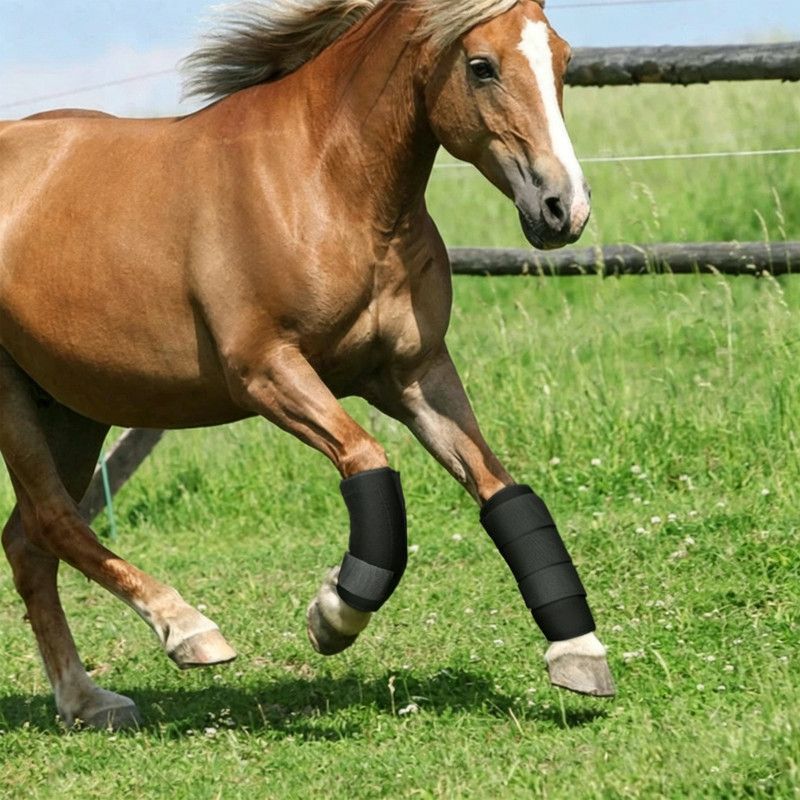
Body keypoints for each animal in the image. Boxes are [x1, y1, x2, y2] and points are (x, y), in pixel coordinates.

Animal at [0, 0, 614, 730]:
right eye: (481, 66)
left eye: (564, 59)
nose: (565, 209)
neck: (325, 185)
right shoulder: (268, 371)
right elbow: (369, 461)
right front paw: (333, 615)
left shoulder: (415, 375)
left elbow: (502, 489)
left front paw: (580, 653)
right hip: (13, 401)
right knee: (52, 521)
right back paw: (189, 632)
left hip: (70, 405)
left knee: (28, 542)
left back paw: (87, 700)